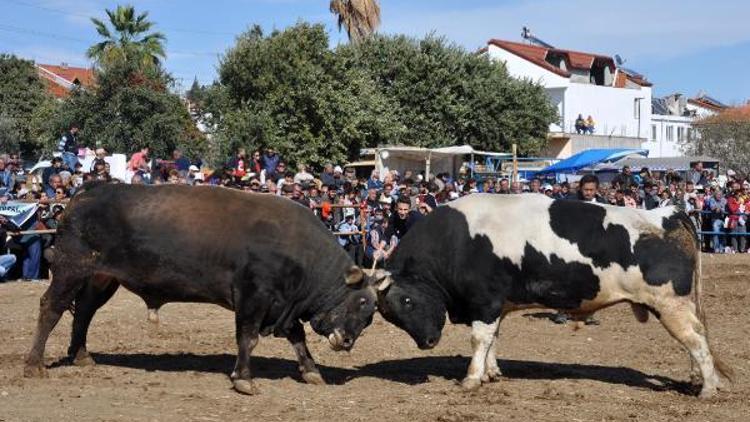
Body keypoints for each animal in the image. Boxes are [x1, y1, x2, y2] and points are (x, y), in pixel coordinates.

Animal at [25, 183, 382, 394]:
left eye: (370, 316)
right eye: (360, 303)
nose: (347, 342)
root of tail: (87, 191)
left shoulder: (282, 306)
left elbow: (297, 337)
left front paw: (311, 371)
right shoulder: (252, 297)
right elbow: (248, 338)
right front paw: (243, 379)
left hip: (100, 279)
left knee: (83, 312)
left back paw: (81, 355)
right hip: (70, 270)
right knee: (51, 309)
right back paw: (34, 364)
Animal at [376, 193, 736, 398]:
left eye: (406, 301)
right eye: (391, 315)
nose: (427, 343)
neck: (457, 240)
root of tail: (668, 214)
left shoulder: (484, 302)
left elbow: (480, 340)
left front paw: (472, 378)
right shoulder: (498, 305)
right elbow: (493, 340)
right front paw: (492, 372)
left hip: (670, 305)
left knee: (696, 341)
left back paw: (708, 388)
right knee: (696, 339)